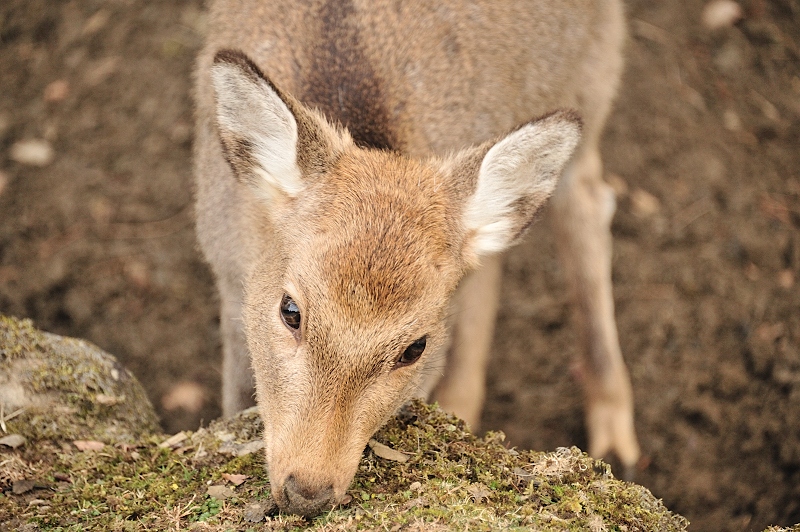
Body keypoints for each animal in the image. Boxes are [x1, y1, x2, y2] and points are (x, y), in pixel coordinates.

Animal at [192, 0, 636, 516]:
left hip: (595, 64)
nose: (308, 491)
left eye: (415, 347)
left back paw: (615, 439)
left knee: (585, 200)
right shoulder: (228, 283)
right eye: (290, 311)